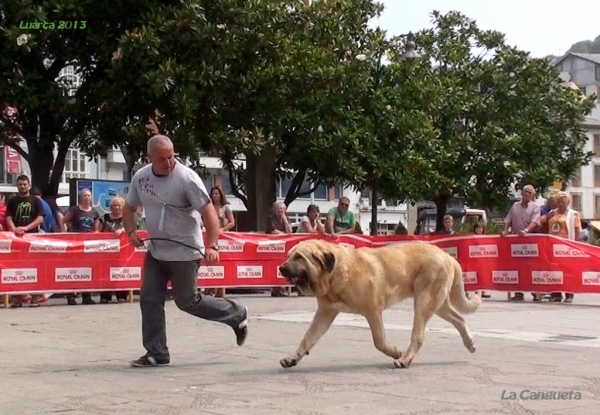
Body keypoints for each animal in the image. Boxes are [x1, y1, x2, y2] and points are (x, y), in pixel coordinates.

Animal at [278, 239, 480, 368]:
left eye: (299, 257)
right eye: (289, 255)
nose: (281, 267)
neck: (335, 272)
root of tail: (448, 257)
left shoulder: (373, 311)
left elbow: (379, 341)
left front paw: (395, 352)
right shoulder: (325, 313)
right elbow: (308, 338)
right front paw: (292, 359)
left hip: (424, 302)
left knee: (419, 335)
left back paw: (404, 360)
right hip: (437, 304)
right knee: (459, 319)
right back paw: (469, 343)